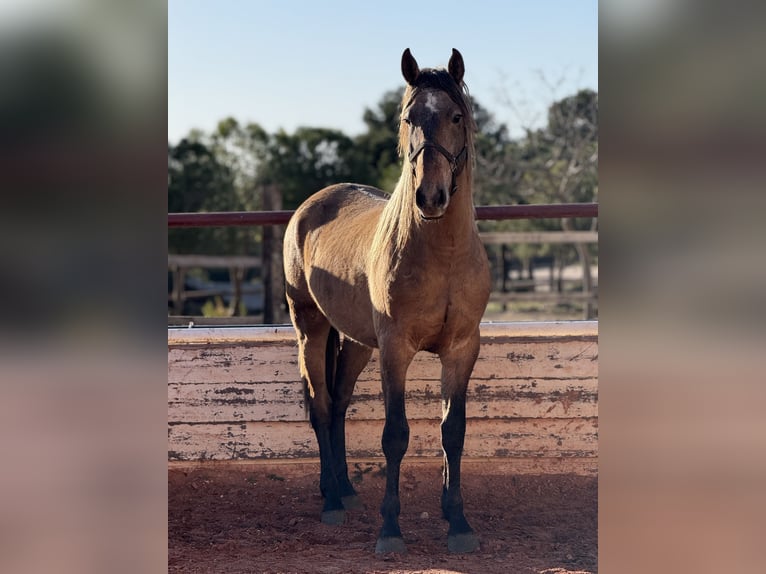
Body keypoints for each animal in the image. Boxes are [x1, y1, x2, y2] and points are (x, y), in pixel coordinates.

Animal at [283, 48, 491, 554]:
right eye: (408, 118)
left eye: (457, 116)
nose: (430, 196)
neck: (442, 255)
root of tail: (310, 206)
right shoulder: (395, 349)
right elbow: (395, 435)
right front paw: (391, 528)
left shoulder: (462, 350)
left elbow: (452, 432)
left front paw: (457, 522)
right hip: (309, 329)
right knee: (320, 405)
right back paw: (331, 501)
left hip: (358, 342)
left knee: (339, 403)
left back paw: (345, 489)